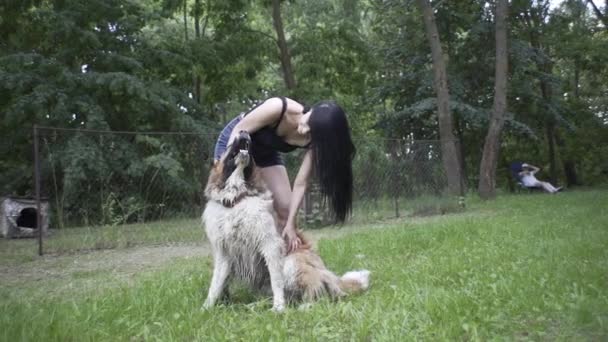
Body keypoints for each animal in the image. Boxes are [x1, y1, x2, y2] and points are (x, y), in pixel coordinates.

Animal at [202, 132, 368, 312]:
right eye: (229, 145)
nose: (244, 132)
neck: (238, 199)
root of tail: (329, 274)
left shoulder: (270, 245)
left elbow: (276, 281)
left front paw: (279, 308)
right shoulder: (225, 253)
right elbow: (215, 284)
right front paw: (206, 308)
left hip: (291, 264)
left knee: (314, 291)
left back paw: (304, 306)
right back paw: (256, 305)